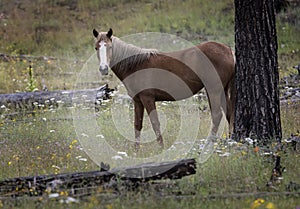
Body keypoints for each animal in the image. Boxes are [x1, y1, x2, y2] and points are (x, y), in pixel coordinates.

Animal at [92, 28, 236, 149]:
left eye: (110, 47)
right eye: (96, 48)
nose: (103, 69)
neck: (136, 65)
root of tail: (228, 50)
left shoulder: (148, 98)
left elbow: (155, 123)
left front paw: (161, 148)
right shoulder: (138, 100)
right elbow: (137, 125)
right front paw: (136, 151)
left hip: (213, 91)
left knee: (217, 116)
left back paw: (207, 146)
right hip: (223, 90)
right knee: (229, 113)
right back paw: (230, 141)